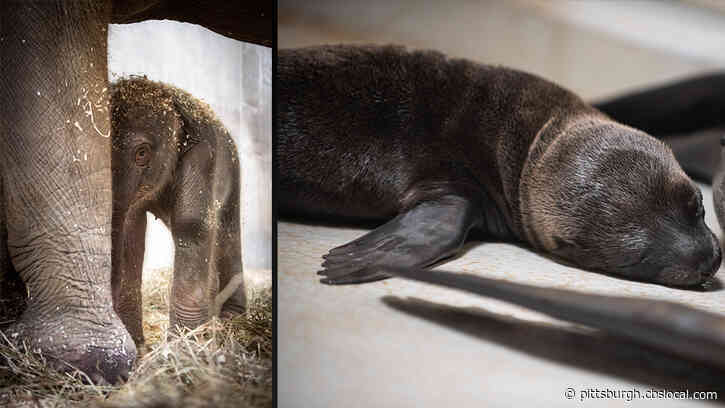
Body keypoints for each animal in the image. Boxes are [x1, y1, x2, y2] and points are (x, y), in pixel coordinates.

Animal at [110, 77, 243, 346]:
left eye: (142, 153)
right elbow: (132, 230)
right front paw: (137, 345)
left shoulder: (203, 155)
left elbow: (192, 225)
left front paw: (183, 346)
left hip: (233, 173)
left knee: (227, 234)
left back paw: (231, 319)